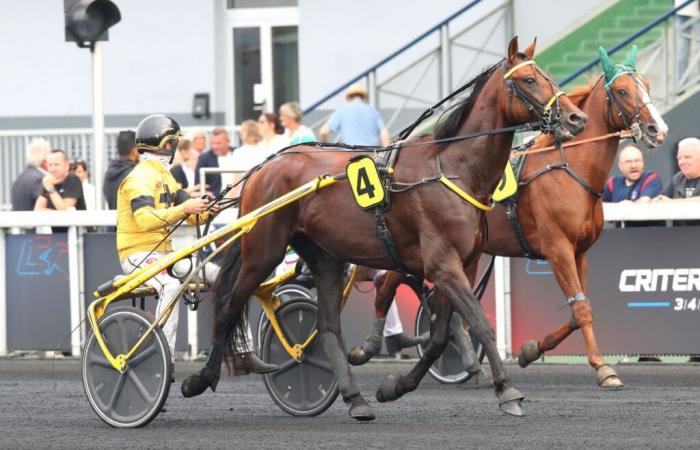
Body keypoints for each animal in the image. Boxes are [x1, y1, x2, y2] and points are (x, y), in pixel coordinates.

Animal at [179, 37, 584, 420]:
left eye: (549, 76)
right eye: (530, 80)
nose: (576, 118)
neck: (452, 167)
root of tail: (264, 167)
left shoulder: (462, 264)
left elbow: (440, 335)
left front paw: (395, 387)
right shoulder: (442, 264)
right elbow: (479, 325)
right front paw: (507, 391)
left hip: (324, 258)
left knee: (328, 328)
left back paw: (355, 398)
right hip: (263, 250)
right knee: (230, 306)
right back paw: (200, 379)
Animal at [358, 44, 668, 390]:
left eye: (648, 86)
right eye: (622, 90)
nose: (658, 129)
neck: (569, 167)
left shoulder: (580, 251)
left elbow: (577, 310)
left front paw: (532, 349)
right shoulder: (558, 248)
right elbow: (582, 309)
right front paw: (603, 367)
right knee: (389, 284)